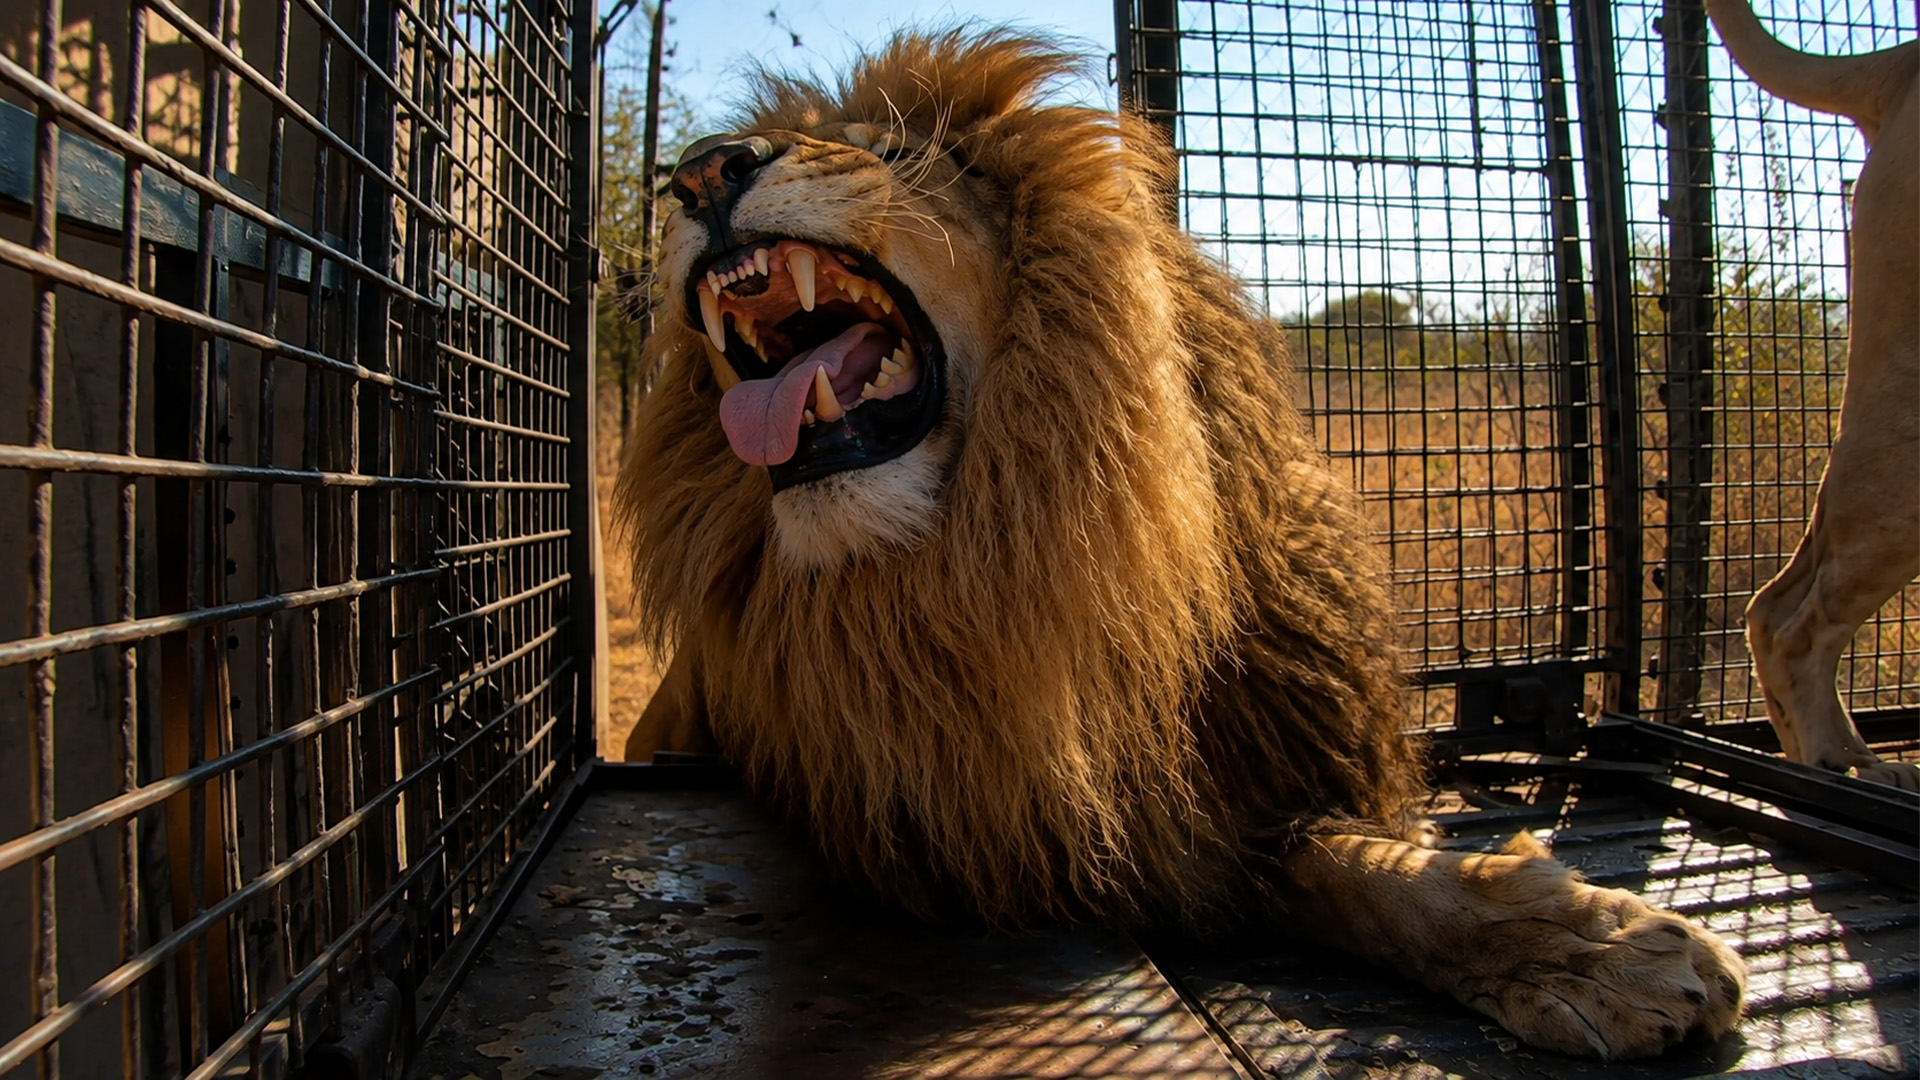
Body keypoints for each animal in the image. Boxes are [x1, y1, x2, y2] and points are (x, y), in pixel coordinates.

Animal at [613, 30, 1746, 1059]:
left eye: (893, 153)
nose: (700, 167)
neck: (975, 565)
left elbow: (1355, 868)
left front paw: (1576, 948)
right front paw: (1580, 951)